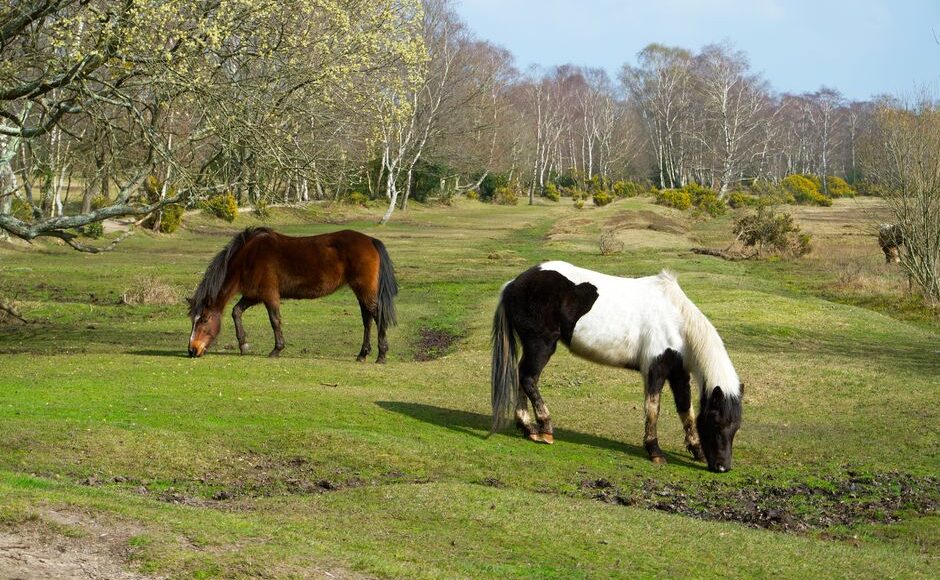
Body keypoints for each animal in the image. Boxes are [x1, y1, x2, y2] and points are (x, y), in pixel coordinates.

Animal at [187, 227, 398, 361]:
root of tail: (370, 240)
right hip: (361, 291)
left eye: (204, 319)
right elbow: (236, 312)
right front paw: (243, 345)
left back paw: (381, 355)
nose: (192, 350)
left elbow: (275, 321)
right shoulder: (253, 295)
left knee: (377, 316)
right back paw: (362, 354)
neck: (249, 257)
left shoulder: (269, 295)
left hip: (364, 290)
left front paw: (276, 350)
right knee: (367, 319)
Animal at [490, 261, 743, 473]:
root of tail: (513, 284)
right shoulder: (656, 369)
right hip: (541, 345)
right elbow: (653, 409)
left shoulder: (679, 373)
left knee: (522, 378)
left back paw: (528, 428)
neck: (677, 321)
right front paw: (655, 451)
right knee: (528, 378)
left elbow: (686, 411)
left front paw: (696, 450)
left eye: (736, 427)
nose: (723, 467)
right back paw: (545, 428)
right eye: (716, 422)